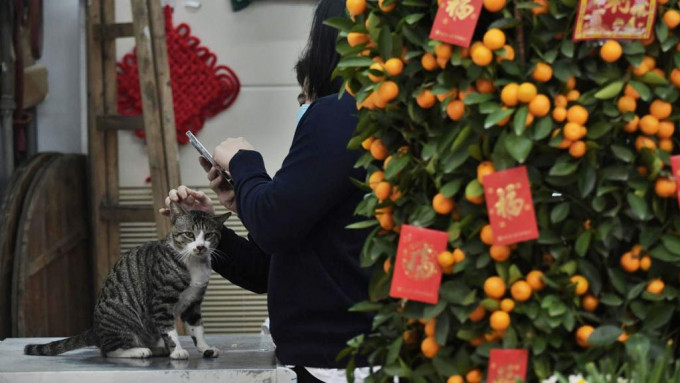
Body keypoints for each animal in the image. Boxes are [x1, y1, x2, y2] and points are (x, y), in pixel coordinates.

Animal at [25, 204, 230, 360]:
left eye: (209, 235)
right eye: (189, 234)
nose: (200, 247)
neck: (193, 264)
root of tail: (95, 330)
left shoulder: (193, 302)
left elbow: (196, 328)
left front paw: (205, 348)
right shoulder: (161, 301)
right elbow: (169, 329)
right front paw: (177, 350)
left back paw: (158, 349)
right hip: (123, 316)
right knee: (109, 350)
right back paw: (139, 350)